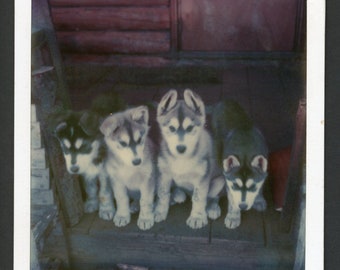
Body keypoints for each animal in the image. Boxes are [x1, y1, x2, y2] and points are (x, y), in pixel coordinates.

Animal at [154, 89, 223, 229]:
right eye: (172, 128)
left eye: (190, 128)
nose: (181, 148)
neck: (182, 158)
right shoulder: (164, 174)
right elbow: (162, 194)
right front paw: (160, 211)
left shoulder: (202, 178)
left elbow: (199, 198)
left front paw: (197, 217)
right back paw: (177, 195)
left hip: (220, 181)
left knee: (214, 196)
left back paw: (213, 208)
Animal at [212, 100, 268, 229]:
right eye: (235, 186)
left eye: (253, 187)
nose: (243, 206)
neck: (245, 151)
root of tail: (223, 101)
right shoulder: (228, 180)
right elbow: (233, 200)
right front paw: (233, 216)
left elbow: (261, 185)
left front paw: (259, 199)